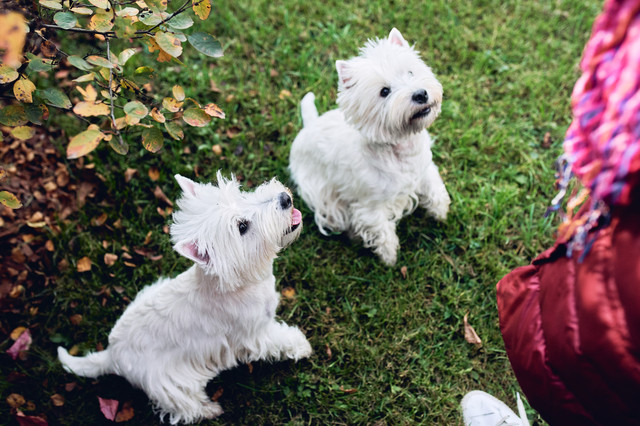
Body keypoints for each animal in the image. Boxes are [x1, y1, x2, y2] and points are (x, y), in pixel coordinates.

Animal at [57, 171, 312, 424]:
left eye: (241, 195)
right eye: (242, 226)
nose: (285, 198)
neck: (240, 283)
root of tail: (111, 355)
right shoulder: (253, 334)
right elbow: (279, 340)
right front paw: (302, 345)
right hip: (167, 381)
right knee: (184, 406)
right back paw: (209, 409)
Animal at [290, 28, 450, 264]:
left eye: (410, 73)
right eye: (384, 91)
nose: (420, 94)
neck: (400, 149)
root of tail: (311, 123)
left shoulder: (425, 169)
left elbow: (436, 190)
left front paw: (441, 213)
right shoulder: (370, 205)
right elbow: (382, 231)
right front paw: (390, 258)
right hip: (320, 193)